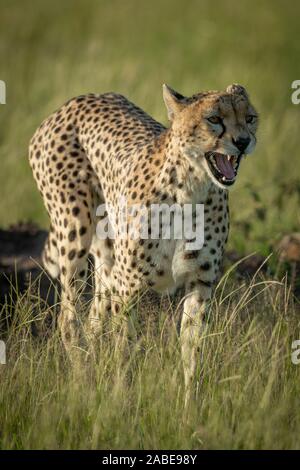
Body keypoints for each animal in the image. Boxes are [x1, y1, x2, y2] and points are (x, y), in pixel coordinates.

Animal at [28, 84, 258, 400]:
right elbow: (125, 346)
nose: (244, 141)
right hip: (75, 234)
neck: (191, 188)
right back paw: (82, 382)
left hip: (108, 260)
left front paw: (191, 405)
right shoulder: (130, 286)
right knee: (68, 318)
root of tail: (78, 100)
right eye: (214, 119)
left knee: (94, 317)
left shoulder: (199, 283)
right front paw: (120, 399)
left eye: (249, 118)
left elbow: (192, 349)